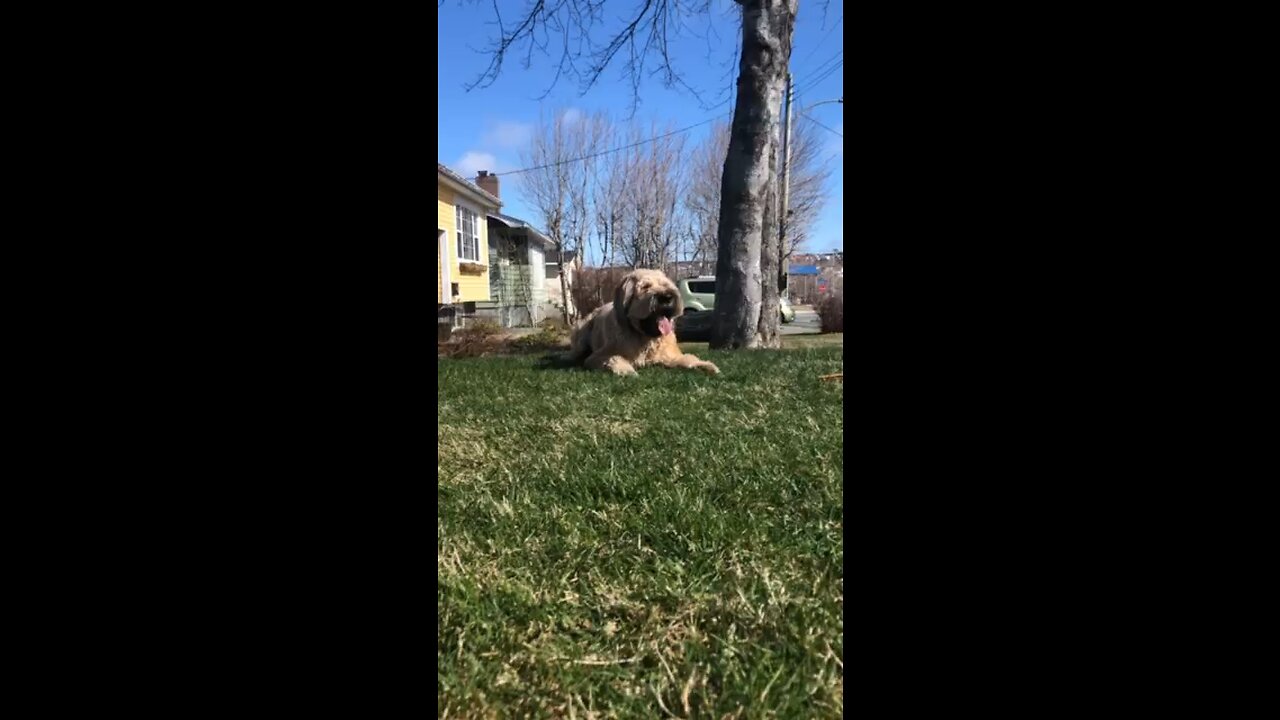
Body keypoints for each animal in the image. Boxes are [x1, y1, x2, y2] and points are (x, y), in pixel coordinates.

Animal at [568, 267, 721, 376]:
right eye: (645, 287)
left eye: (665, 284)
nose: (667, 297)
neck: (645, 338)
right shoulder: (597, 357)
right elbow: (613, 358)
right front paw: (626, 369)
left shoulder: (669, 356)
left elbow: (688, 359)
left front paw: (705, 365)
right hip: (582, 331)